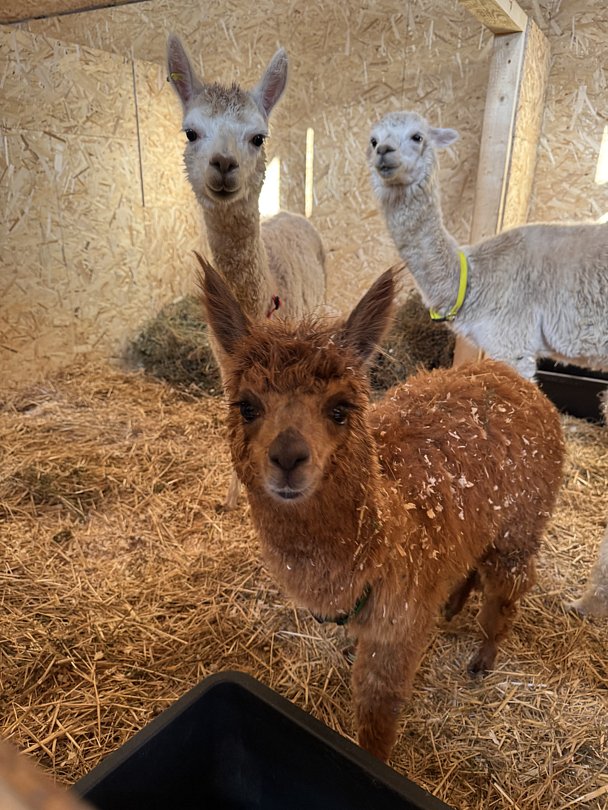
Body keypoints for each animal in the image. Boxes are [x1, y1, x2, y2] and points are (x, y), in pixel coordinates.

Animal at [197, 252, 565, 762]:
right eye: (246, 406)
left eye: (340, 408)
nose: (288, 457)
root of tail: (517, 380)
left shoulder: (397, 627)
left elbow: (378, 715)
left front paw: (372, 764)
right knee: (473, 563)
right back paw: (452, 606)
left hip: (521, 525)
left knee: (508, 588)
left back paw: (483, 658)